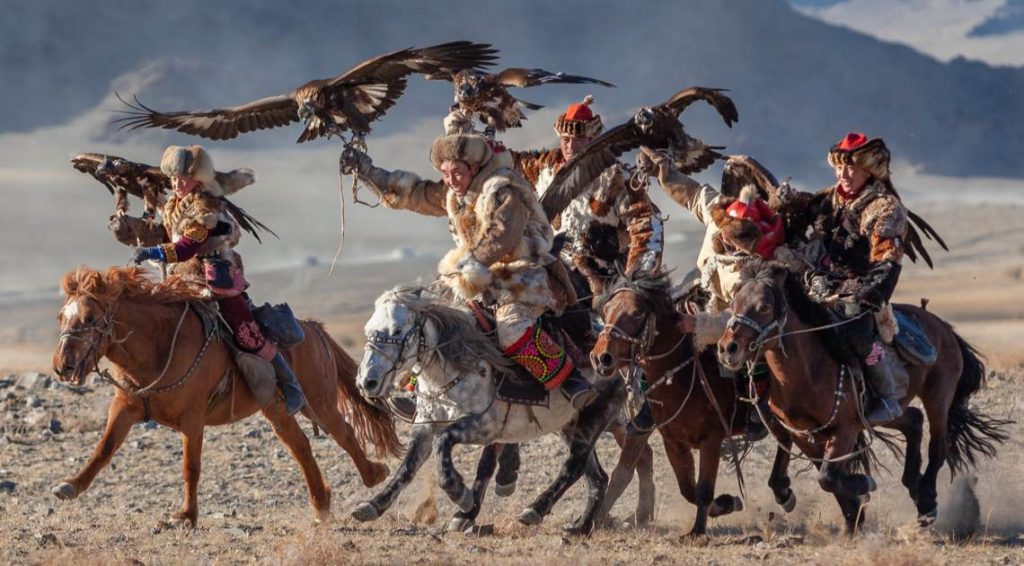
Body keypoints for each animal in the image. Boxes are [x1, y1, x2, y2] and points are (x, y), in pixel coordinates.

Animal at [50, 264, 399, 524]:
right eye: (61, 317)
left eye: (90, 318)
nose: (62, 365)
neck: (159, 346)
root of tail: (315, 329)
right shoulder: (125, 406)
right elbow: (104, 449)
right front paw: (69, 486)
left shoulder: (192, 419)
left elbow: (190, 467)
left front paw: (186, 516)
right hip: (276, 409)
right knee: (300, 446)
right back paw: (322, 505)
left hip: (319, 401)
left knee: (343, 432)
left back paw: (374, 475)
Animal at [352, 286, 622, 532]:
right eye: (368, 331)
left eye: (397, 330)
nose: (367, 382)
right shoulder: (426, 426)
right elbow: (407, 468)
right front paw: (371, 506)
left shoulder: (484, 426)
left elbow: (445, 441)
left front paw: (461, 495)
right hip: (568, 423)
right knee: (597, 477)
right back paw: (580, 527)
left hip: (595, 414)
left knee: (574, 465)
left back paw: (534, 510)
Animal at [589, 272, 778, 536]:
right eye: (606, 310)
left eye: (637, 312)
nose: (601, 358)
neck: (685, 374)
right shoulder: (673, 442)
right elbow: (688, 488)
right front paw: (726, 503)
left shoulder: (712, 440)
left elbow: (703, 488)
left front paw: (698, 530)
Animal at [716, 262, 1011, 532]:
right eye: (735, 303)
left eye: (765, 307)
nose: (728, 348)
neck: (811, 368)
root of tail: (942, 326)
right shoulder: (802, 433)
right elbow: (824, 473)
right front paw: (852, 516)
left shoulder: (845, 428)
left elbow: (828, 476)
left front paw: (863, 488)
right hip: (887, 411)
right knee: (913, 420)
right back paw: (914, 486)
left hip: (939, 395)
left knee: (938, 445)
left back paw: (927, 501)